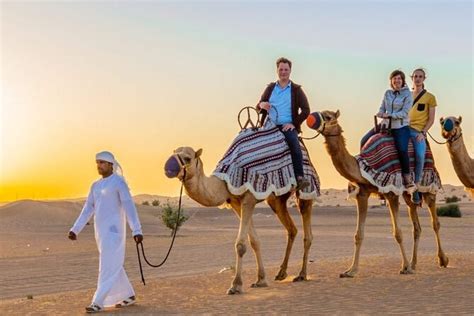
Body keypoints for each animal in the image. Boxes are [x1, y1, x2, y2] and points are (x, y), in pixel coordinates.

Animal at [167, 147, 314, 296]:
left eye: (187, 158)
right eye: (173, 152)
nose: (167, 168)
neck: (224, 181)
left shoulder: (249, 197)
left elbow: (240, 245)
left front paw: (236, 285)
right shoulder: (235, 202)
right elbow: (254, 241)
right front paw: (261, 280)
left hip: (306, 190)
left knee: (307, 231)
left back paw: (302, 274)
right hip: (277, 199)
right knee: (292, 229)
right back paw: (281, 273)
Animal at [318, 110, 448, 276]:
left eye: (328, 117)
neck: (364, 166)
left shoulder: (391, 192)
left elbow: (398, 233)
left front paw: (405, 267)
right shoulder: (362, 194)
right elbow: (358, 235)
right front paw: (350, 271)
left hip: (428, 183)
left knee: (435, 222)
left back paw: (442, 260)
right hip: (408, 195)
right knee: (416, 226)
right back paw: (414, 264)